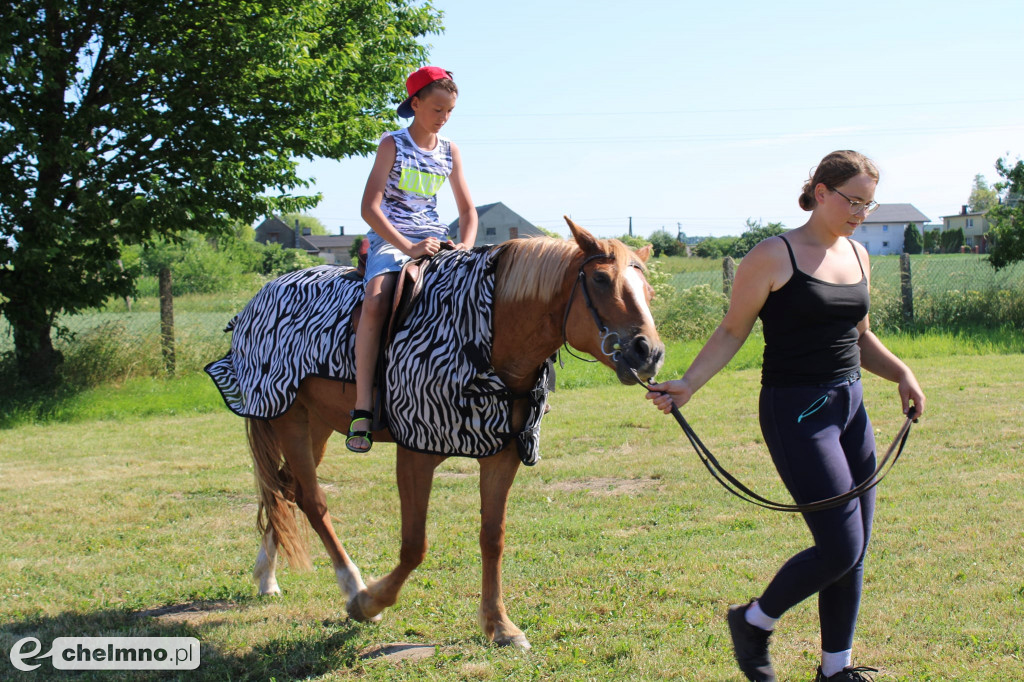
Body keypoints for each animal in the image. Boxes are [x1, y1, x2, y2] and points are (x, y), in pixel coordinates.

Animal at [240, 215, 663, 647]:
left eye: (647, 290)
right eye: (600, 279)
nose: (649, 352)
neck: (484, 340)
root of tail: (260, 296)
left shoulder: (502, 452)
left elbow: (492, 537)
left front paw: (499, 624)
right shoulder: (416, 452)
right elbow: (414, 546)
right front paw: (368, 603)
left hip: (317, 424)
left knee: (284, 488)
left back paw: (266, 577)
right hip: (288, 417)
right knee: (310, 499)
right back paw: (350, 584)